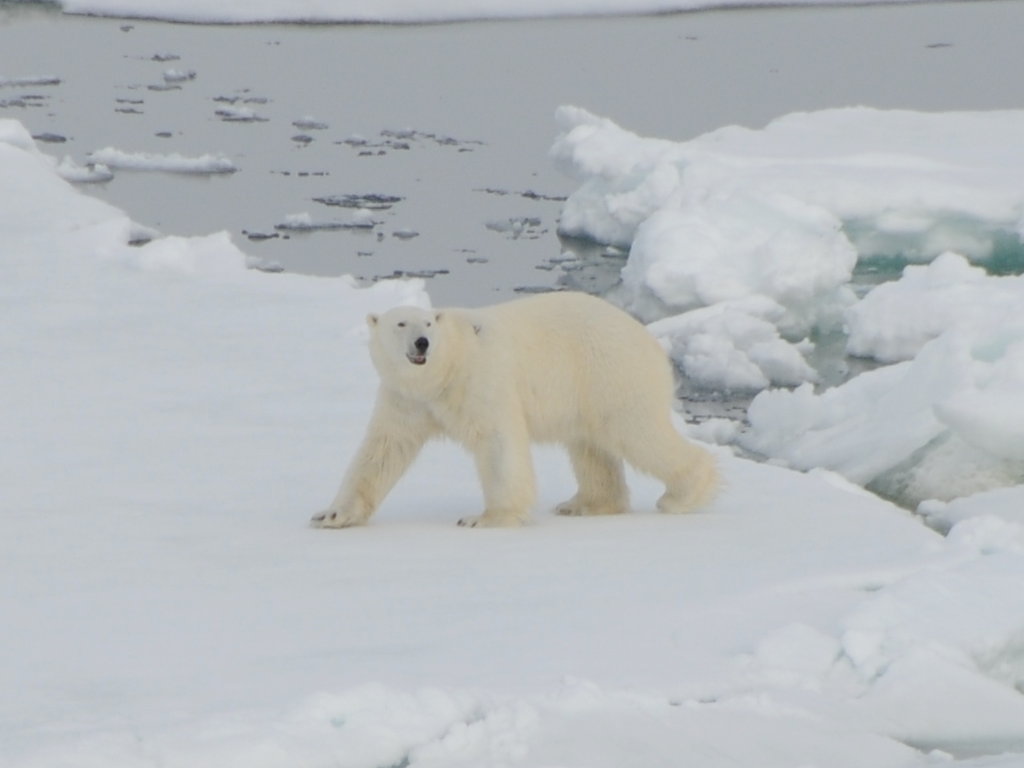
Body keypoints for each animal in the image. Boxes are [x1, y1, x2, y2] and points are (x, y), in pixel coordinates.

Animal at [311, 290, 720, 528]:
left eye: (427, 322)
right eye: (400, 323)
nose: (423, 342)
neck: (444, 370)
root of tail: (649, 338)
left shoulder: (480, 379)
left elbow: (497, 442)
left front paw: (486, 518)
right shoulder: (405, 399)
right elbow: (382, 449)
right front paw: (331, 514)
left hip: (609, 371)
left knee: (635, 431)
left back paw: (682, 494)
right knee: (590, 446)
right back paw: (584, 504)